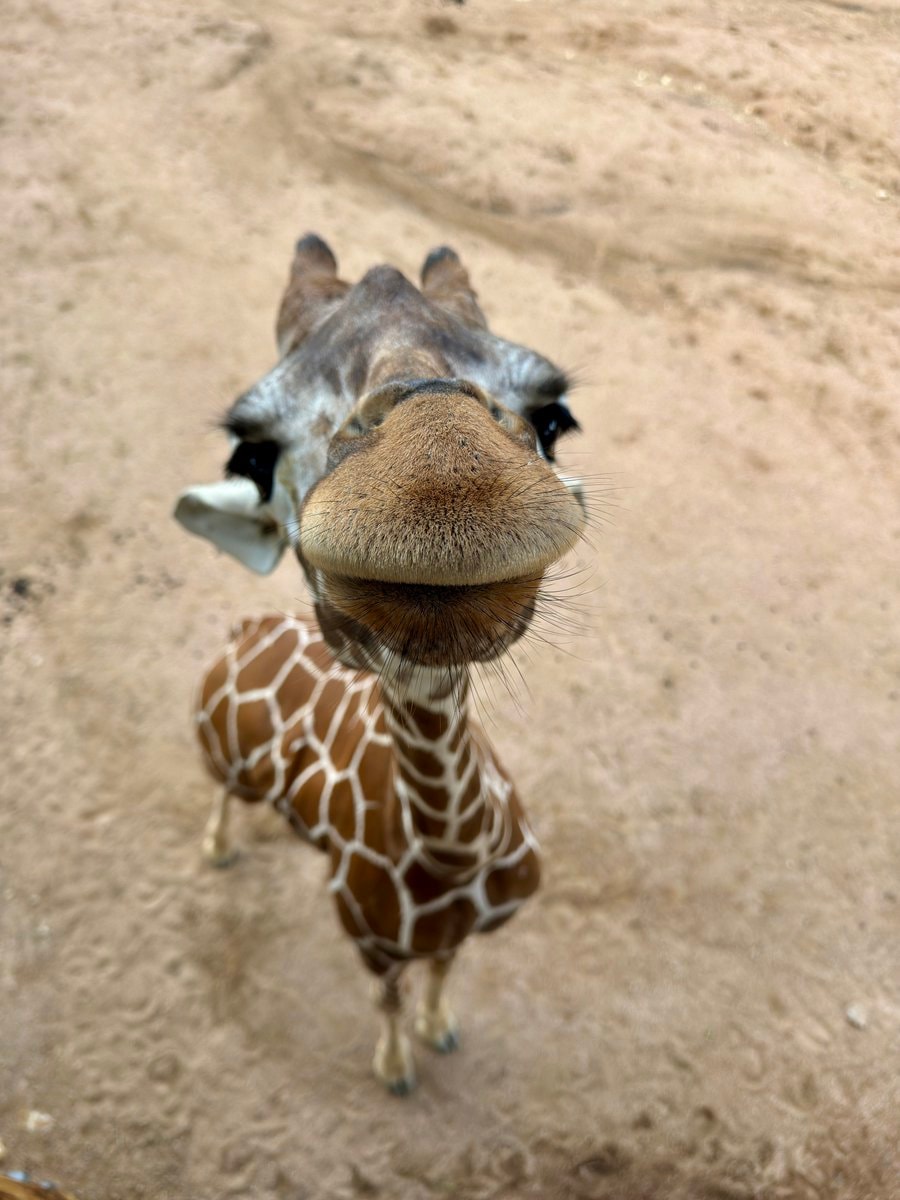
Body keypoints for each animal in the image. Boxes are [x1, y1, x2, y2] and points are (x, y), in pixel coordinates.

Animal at [175, 235, 586, 1093]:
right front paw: (397, 1067)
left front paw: (442, 1029)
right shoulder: (367, 937)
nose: (442, 477)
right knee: (223, 792)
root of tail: (245, 627)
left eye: (554, 415)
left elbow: (445, 966)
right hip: (219, 754)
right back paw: (219, 848)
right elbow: (391, 996)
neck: (451, 861)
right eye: (251, 452)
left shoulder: (461, 932)